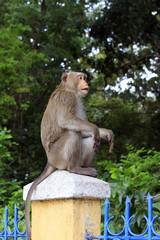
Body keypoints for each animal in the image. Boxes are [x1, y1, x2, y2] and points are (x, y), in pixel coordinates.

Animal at [24, 71, 114, 238]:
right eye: (80, 77)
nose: (86, 82)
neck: (69, 89)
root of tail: (50, 161)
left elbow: (86, 131)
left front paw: (106, 133)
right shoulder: (68, 98)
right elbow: (67, 121)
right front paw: (96, 129)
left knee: (89, 138)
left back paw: (85, 167)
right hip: (59, 155)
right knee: (73, 133)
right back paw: (75, 169)